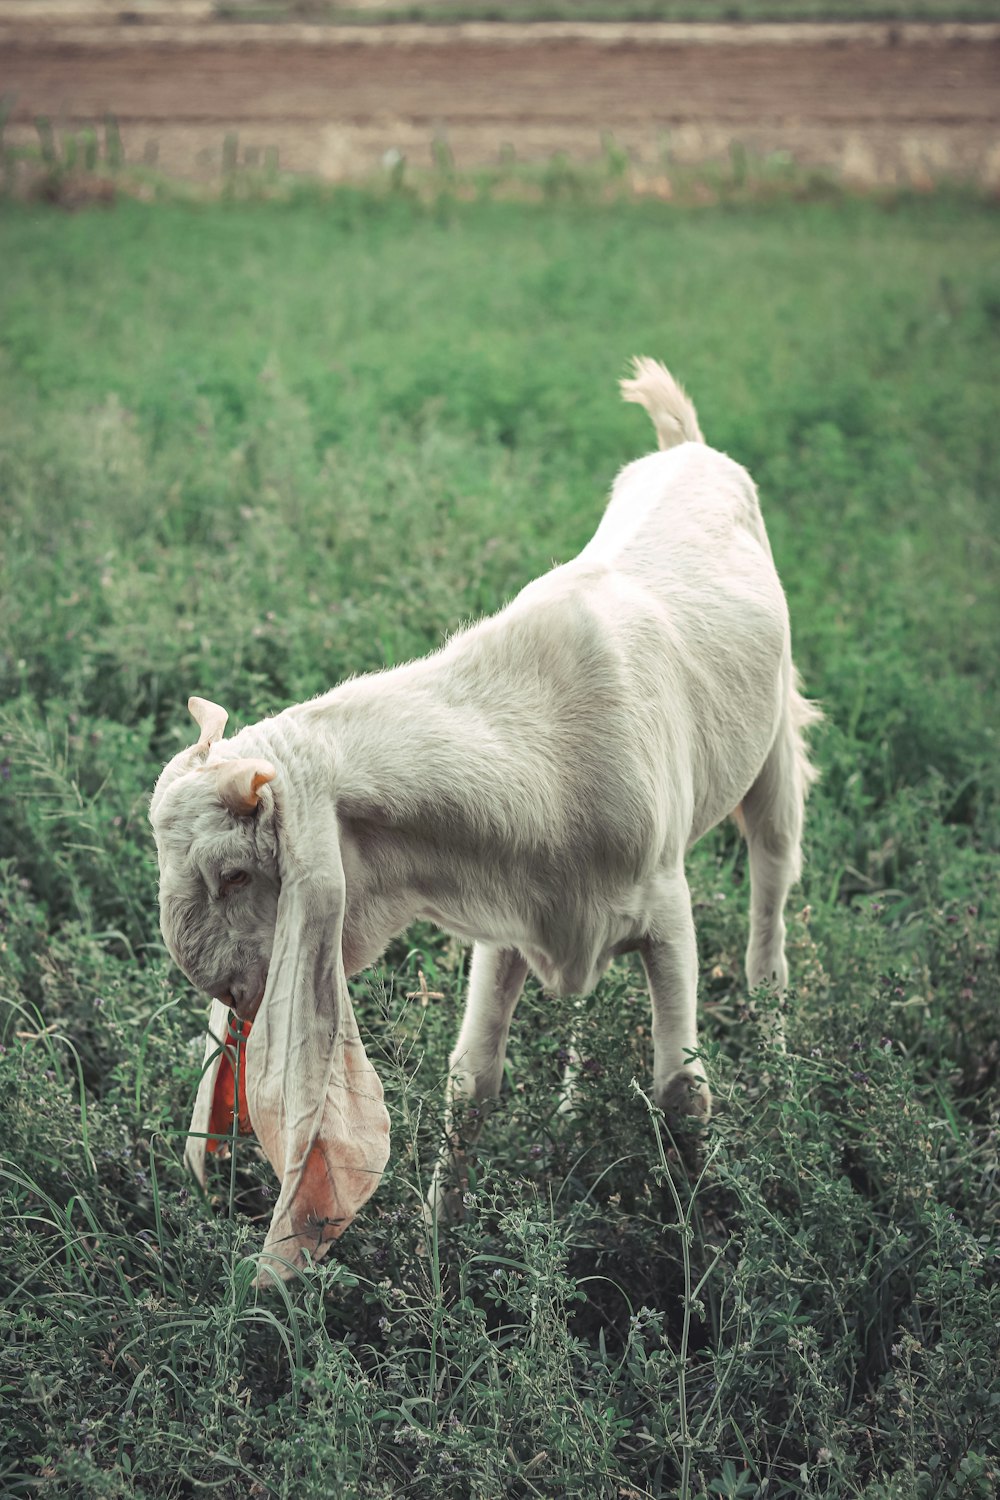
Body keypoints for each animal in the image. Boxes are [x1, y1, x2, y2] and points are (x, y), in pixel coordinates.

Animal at [150, 360, 821, 1278]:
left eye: (237, 874)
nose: (222, 991)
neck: (544, 740)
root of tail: (686, 446)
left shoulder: (668, 908)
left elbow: (681, 1090)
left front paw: (706, 1248)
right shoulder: (512, 915)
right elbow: (471, 1081)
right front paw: (437, 1254)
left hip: (774, 763)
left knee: (768, 926)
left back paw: (782, 1081)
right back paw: (572, 1111)